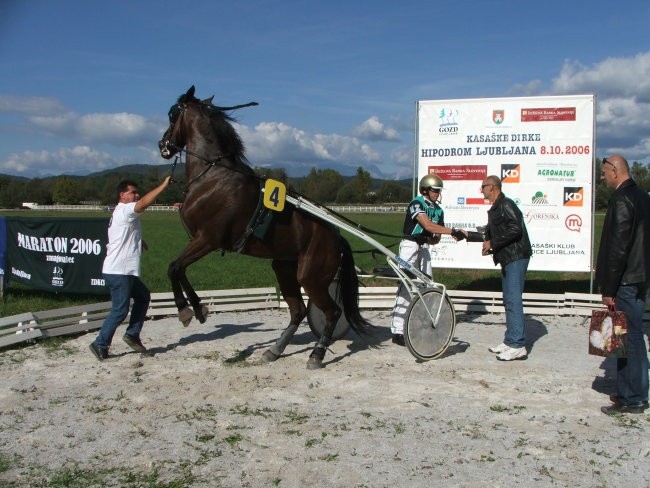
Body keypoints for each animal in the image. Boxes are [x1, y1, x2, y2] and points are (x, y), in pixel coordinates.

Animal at [158, 86, 370, 370]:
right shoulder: (200, 241)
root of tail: (335, 235)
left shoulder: (207, 239)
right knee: (299, 311)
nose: (163, 145)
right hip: (284, 269)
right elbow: (178, 269)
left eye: (172, 114)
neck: (213, 177)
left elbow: (174, 267)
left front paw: (185, 309)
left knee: (332, 311)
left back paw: (317, 354)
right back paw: (275, 350)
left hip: (310, 277)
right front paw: (198, 308)